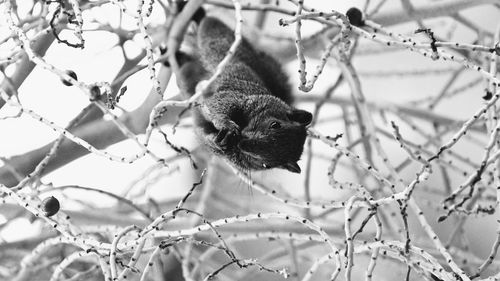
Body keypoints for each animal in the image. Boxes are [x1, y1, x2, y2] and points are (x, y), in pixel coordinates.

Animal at [174, 7, 310, 173]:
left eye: (267, 164)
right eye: (275, 125)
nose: (243, 143)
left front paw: (219, 142)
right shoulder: (237, 94)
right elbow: (216, 105)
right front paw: (227, 125)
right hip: (219, 44)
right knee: (209, 26)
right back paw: (197, 15)